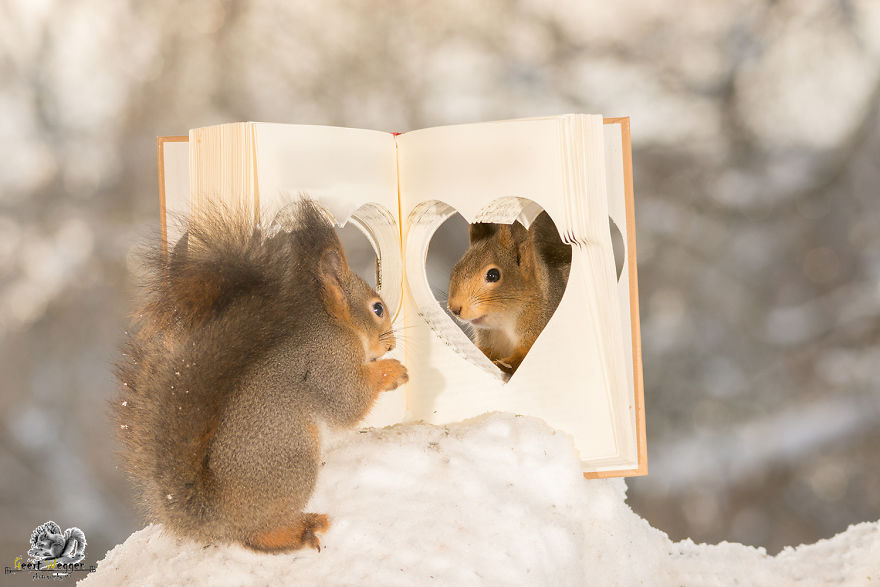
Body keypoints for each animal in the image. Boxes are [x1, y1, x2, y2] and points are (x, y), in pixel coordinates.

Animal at [114, 199, 407, 553]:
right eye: (377, 309)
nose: (391, 344)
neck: (338, 327)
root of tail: (218, 514)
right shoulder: (328, 363)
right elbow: (349, 402)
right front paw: (393, 371)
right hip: (294, 459)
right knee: (257, 535)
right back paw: (298, 531)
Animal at [447, 211, 571, 375]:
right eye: (456, 269)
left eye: (493, 275)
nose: (454, 309)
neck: (505, 323)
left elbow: (521, 358)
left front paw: (503, 364)